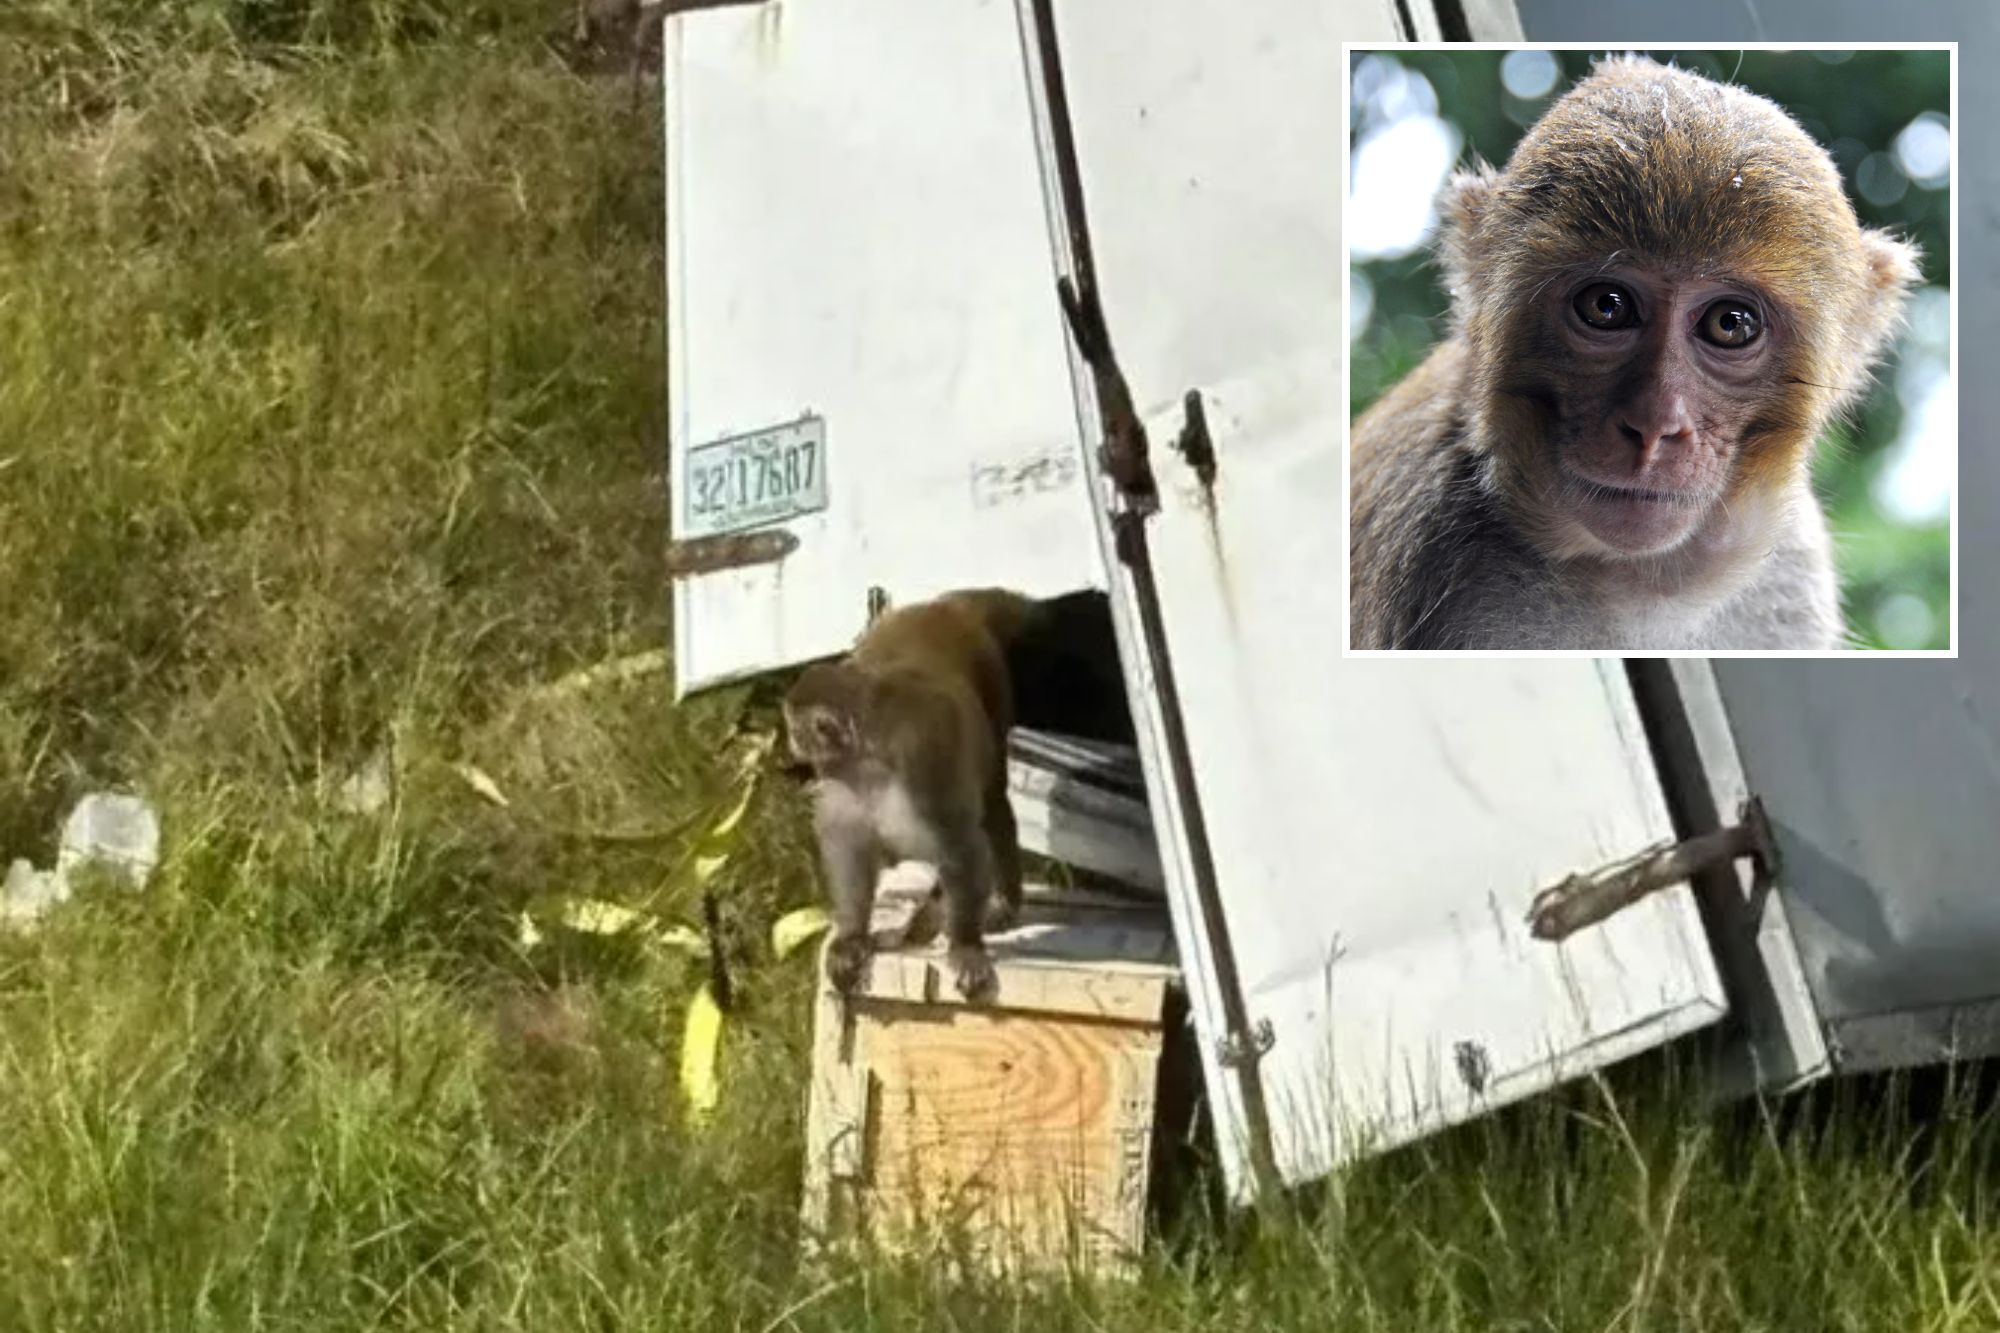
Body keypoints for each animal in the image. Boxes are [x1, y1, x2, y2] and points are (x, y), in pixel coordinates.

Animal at [782, 588, 1040, 1000]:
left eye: (795, 728)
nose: (791, 741)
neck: (870, 756)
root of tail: (943, 607)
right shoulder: (841, 778)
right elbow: (849, 847)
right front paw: (852, 937)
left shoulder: (923, 761)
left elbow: (961, 844)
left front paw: (965, 946)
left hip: (992, 680)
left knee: (993, 803)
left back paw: (1003, 899)